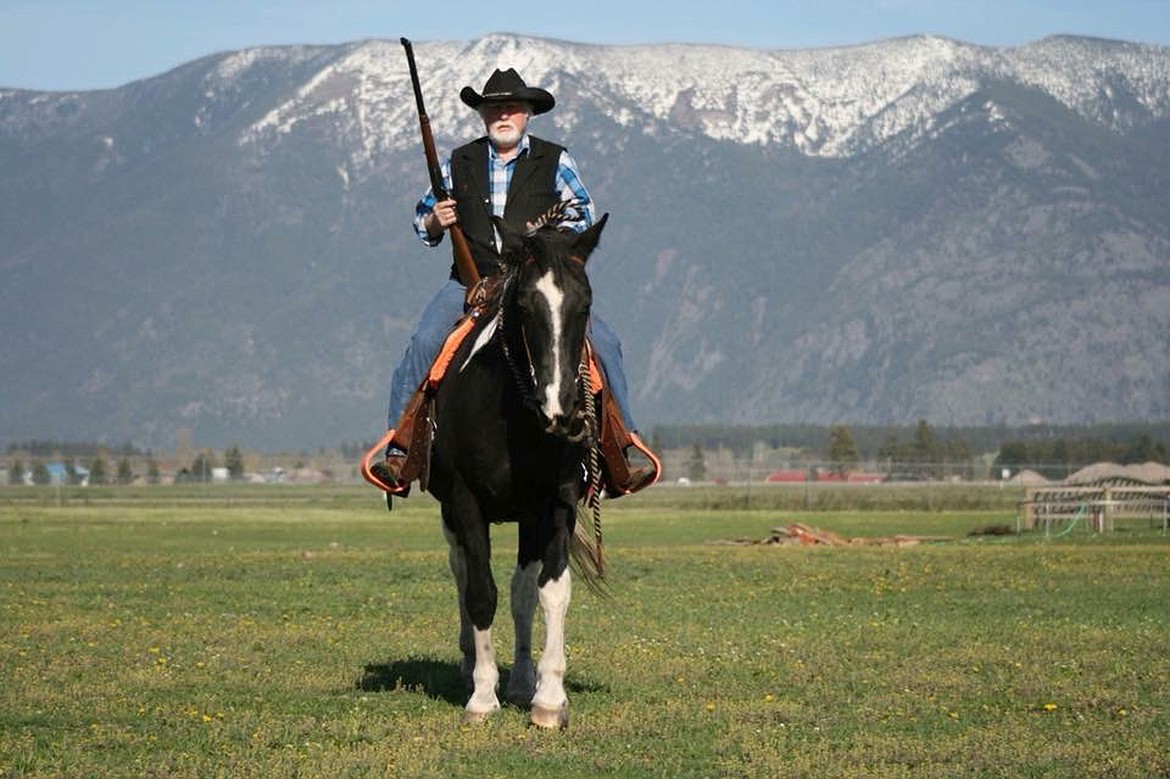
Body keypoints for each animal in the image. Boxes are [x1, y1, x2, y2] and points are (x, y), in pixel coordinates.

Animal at [430, 209, 613, 725]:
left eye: (585, 305)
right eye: (527, 305)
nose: (563, 410)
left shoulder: (556, 504)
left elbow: (549, 591)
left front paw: (548, 698)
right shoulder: (466, 502)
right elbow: (480, 592)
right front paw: (481, 696)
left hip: (529, 518)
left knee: (522, 590)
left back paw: (521, 680)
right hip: (450, 512)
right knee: (461, 572)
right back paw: (471, 663)